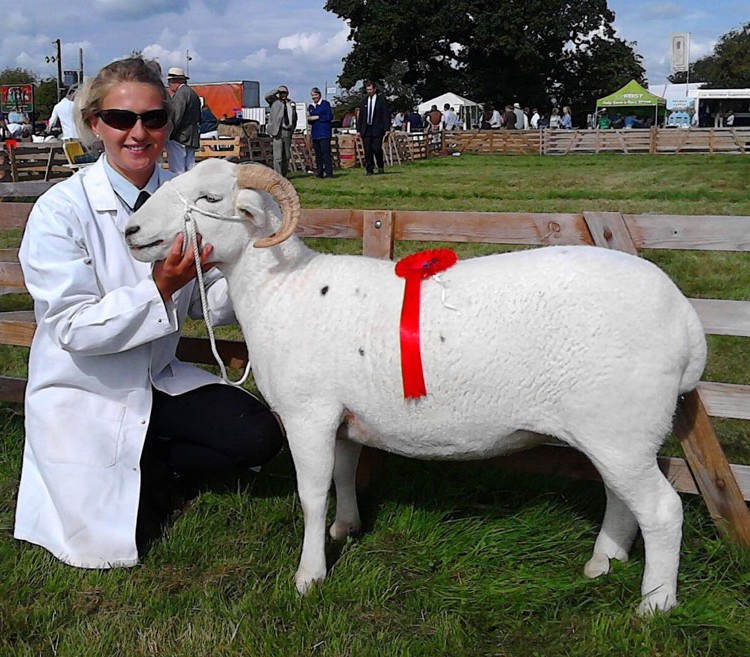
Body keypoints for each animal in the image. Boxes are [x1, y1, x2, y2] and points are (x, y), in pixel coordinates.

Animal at [126, 159, 708, 616]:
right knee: (621, 498)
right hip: (614, 431)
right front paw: (346, 529)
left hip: (619, 428)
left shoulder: (309, 414)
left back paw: (655, 604)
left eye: (210, 198)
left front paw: (309, 576)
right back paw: (603, 561)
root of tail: (687, 322)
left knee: (662, 510)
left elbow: (312, 495)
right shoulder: (344, 417)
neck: (284, 290)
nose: (132, 230)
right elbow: (344, 474)